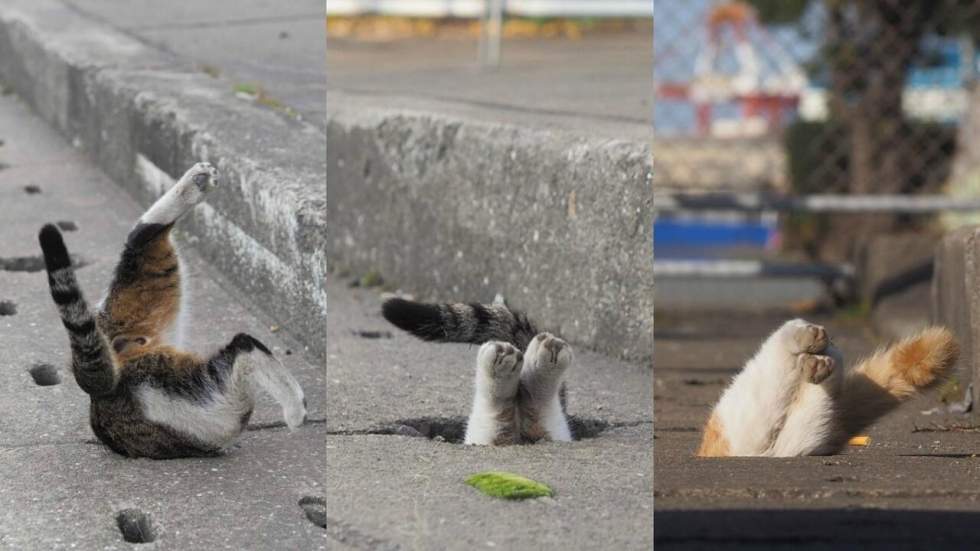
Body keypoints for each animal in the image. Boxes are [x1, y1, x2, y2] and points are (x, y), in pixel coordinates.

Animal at [39, 162, 306, 460]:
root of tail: (103, 391)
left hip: (134, 299)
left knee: (142, 236)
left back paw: (197, 181)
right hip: (208, 400)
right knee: (243, 347)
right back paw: (296, 408)